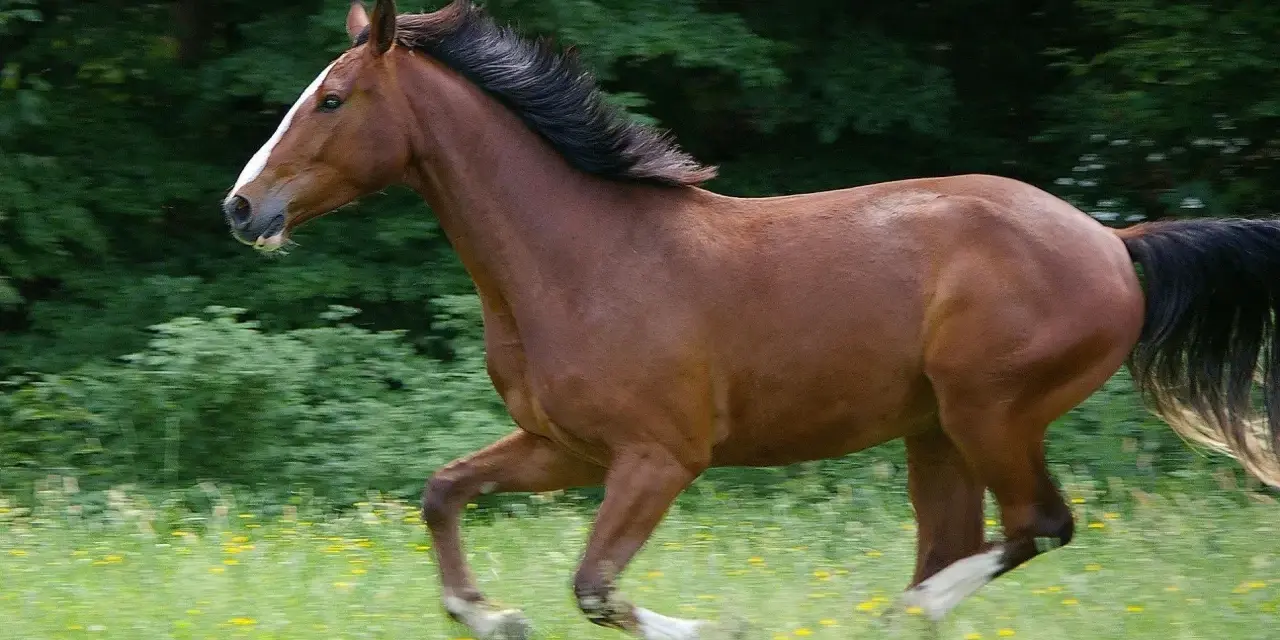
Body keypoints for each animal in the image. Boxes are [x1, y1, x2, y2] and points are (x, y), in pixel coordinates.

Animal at [220, 1, 1280, 637]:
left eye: (332, 99)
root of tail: (1112, 242)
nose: (241, 208)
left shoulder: (660, 458)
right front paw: (490, 616)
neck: (580, 260)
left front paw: (716, 626)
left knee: (1037, 526)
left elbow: (597, 589)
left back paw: (903, 609)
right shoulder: (566, 448)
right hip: (935, 432)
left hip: (991, 412)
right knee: (970, 541)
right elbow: (443, 492)